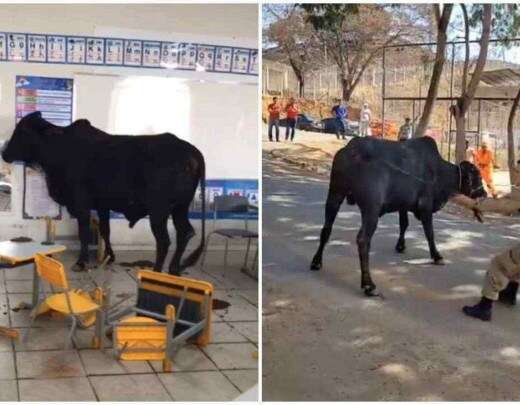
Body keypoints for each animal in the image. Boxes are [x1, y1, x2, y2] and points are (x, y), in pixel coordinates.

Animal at [2, 111, 205, 274]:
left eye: (22, 131)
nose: (4, 153)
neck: (60, 149)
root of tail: (190, 150)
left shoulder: (81, 204)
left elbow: (84, 232)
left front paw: (81, 262)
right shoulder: (102, 205)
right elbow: (105, 230)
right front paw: (110, 256)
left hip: (159, 211)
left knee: (164, 241)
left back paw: (156, 272)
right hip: (180, 207)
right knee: (185, 232)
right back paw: (174, 269)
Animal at [310, 136, 486, 296]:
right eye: (477, 176)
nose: (484, 193)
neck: (440, 171)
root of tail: (353, 149)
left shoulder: (403, 205)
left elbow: (404, 224)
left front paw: (400, 246)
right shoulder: (426, 207)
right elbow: (430, 234)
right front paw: (436, 256)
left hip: (335, 195)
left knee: (326, 229)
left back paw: (316, 262)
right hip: (371, 209)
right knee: (363, 240)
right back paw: (369, 285)